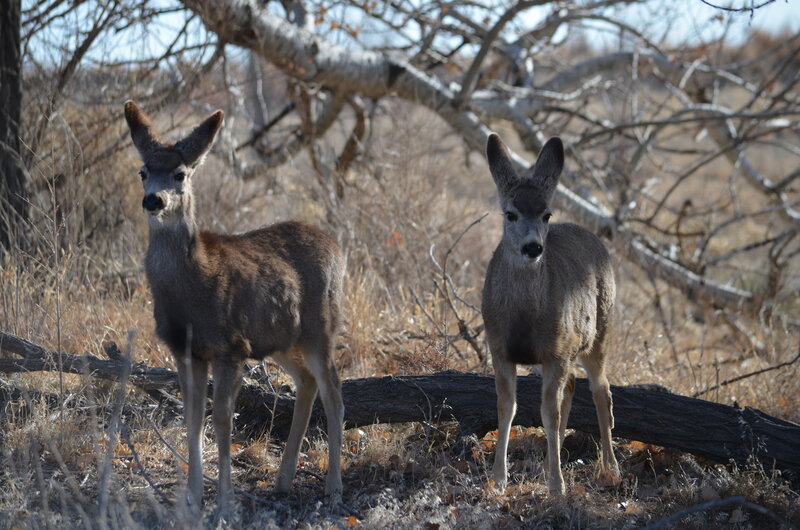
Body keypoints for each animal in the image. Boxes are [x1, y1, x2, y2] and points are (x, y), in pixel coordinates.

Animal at [123, 101, 345, 513]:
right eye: (143, 171)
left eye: (180, 173)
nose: (153, 200)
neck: (190, 291)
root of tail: (339, 249)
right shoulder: (185, 350)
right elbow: (193, 418)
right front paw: (192, 497)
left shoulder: (230, 346)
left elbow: (223, 420)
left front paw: (225, 501)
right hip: (280, 339)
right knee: (307, 383)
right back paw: (283, 480)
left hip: (320, 328)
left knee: (334, 393)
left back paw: (333, 489)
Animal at [481, 133, 619, 495]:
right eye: (510, 213)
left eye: (546, 214)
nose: (533, 247)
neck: (524, 320)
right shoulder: (499, 348)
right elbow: (506, 408)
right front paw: (498, 479)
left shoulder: (556, 351)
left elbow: (549, 414)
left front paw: (557, 487)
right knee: (572, 385)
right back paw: (547, 463)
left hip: (599, 331)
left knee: (601, 389)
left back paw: (610, 467)